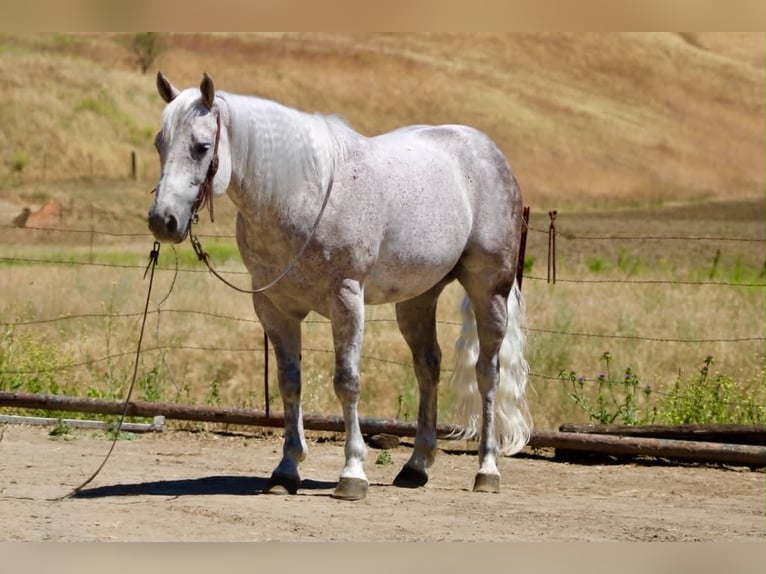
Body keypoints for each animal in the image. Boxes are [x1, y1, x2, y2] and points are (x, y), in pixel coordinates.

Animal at [148, 72, 531, 500]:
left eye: (201, 147)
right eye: (160, 143)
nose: (163, 221)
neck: (302, 194)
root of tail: (487, 151)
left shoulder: (346, 299)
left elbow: (347, 382)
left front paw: (352, 473)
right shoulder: (274, 308)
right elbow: (289, 383)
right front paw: (286, 469)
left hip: (489, 289)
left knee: (487, 372)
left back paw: (487, 469)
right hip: (417, 299)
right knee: (427, 367)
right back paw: (415, 466)